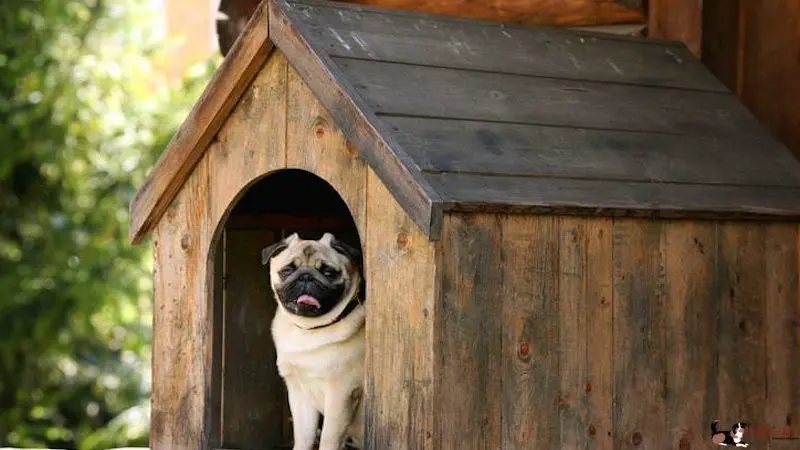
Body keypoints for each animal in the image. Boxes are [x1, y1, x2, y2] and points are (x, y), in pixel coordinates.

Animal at [262, 232, 366, 450]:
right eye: (287, 270)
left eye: (328, 272)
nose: (306, 276)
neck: (309, 330)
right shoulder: (299, 393)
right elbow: (304, 436)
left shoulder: (341, 394)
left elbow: (328, 438)